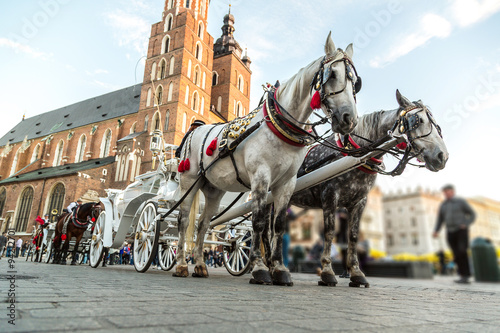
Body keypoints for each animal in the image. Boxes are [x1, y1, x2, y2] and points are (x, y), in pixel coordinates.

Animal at [172, 31, 360, 286]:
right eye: (332, 75)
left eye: (355, 83)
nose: (349, 119)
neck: (279, 124)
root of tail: (195, 130)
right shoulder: (261, 177)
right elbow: (259, 223)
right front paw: (260, 269)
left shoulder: (286, 183)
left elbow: (278, 225)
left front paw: (279, 269)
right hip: (188, 182)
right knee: (183, 222)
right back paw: (181, 264)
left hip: (213, 189)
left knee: (203, 224)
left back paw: (200, 265)